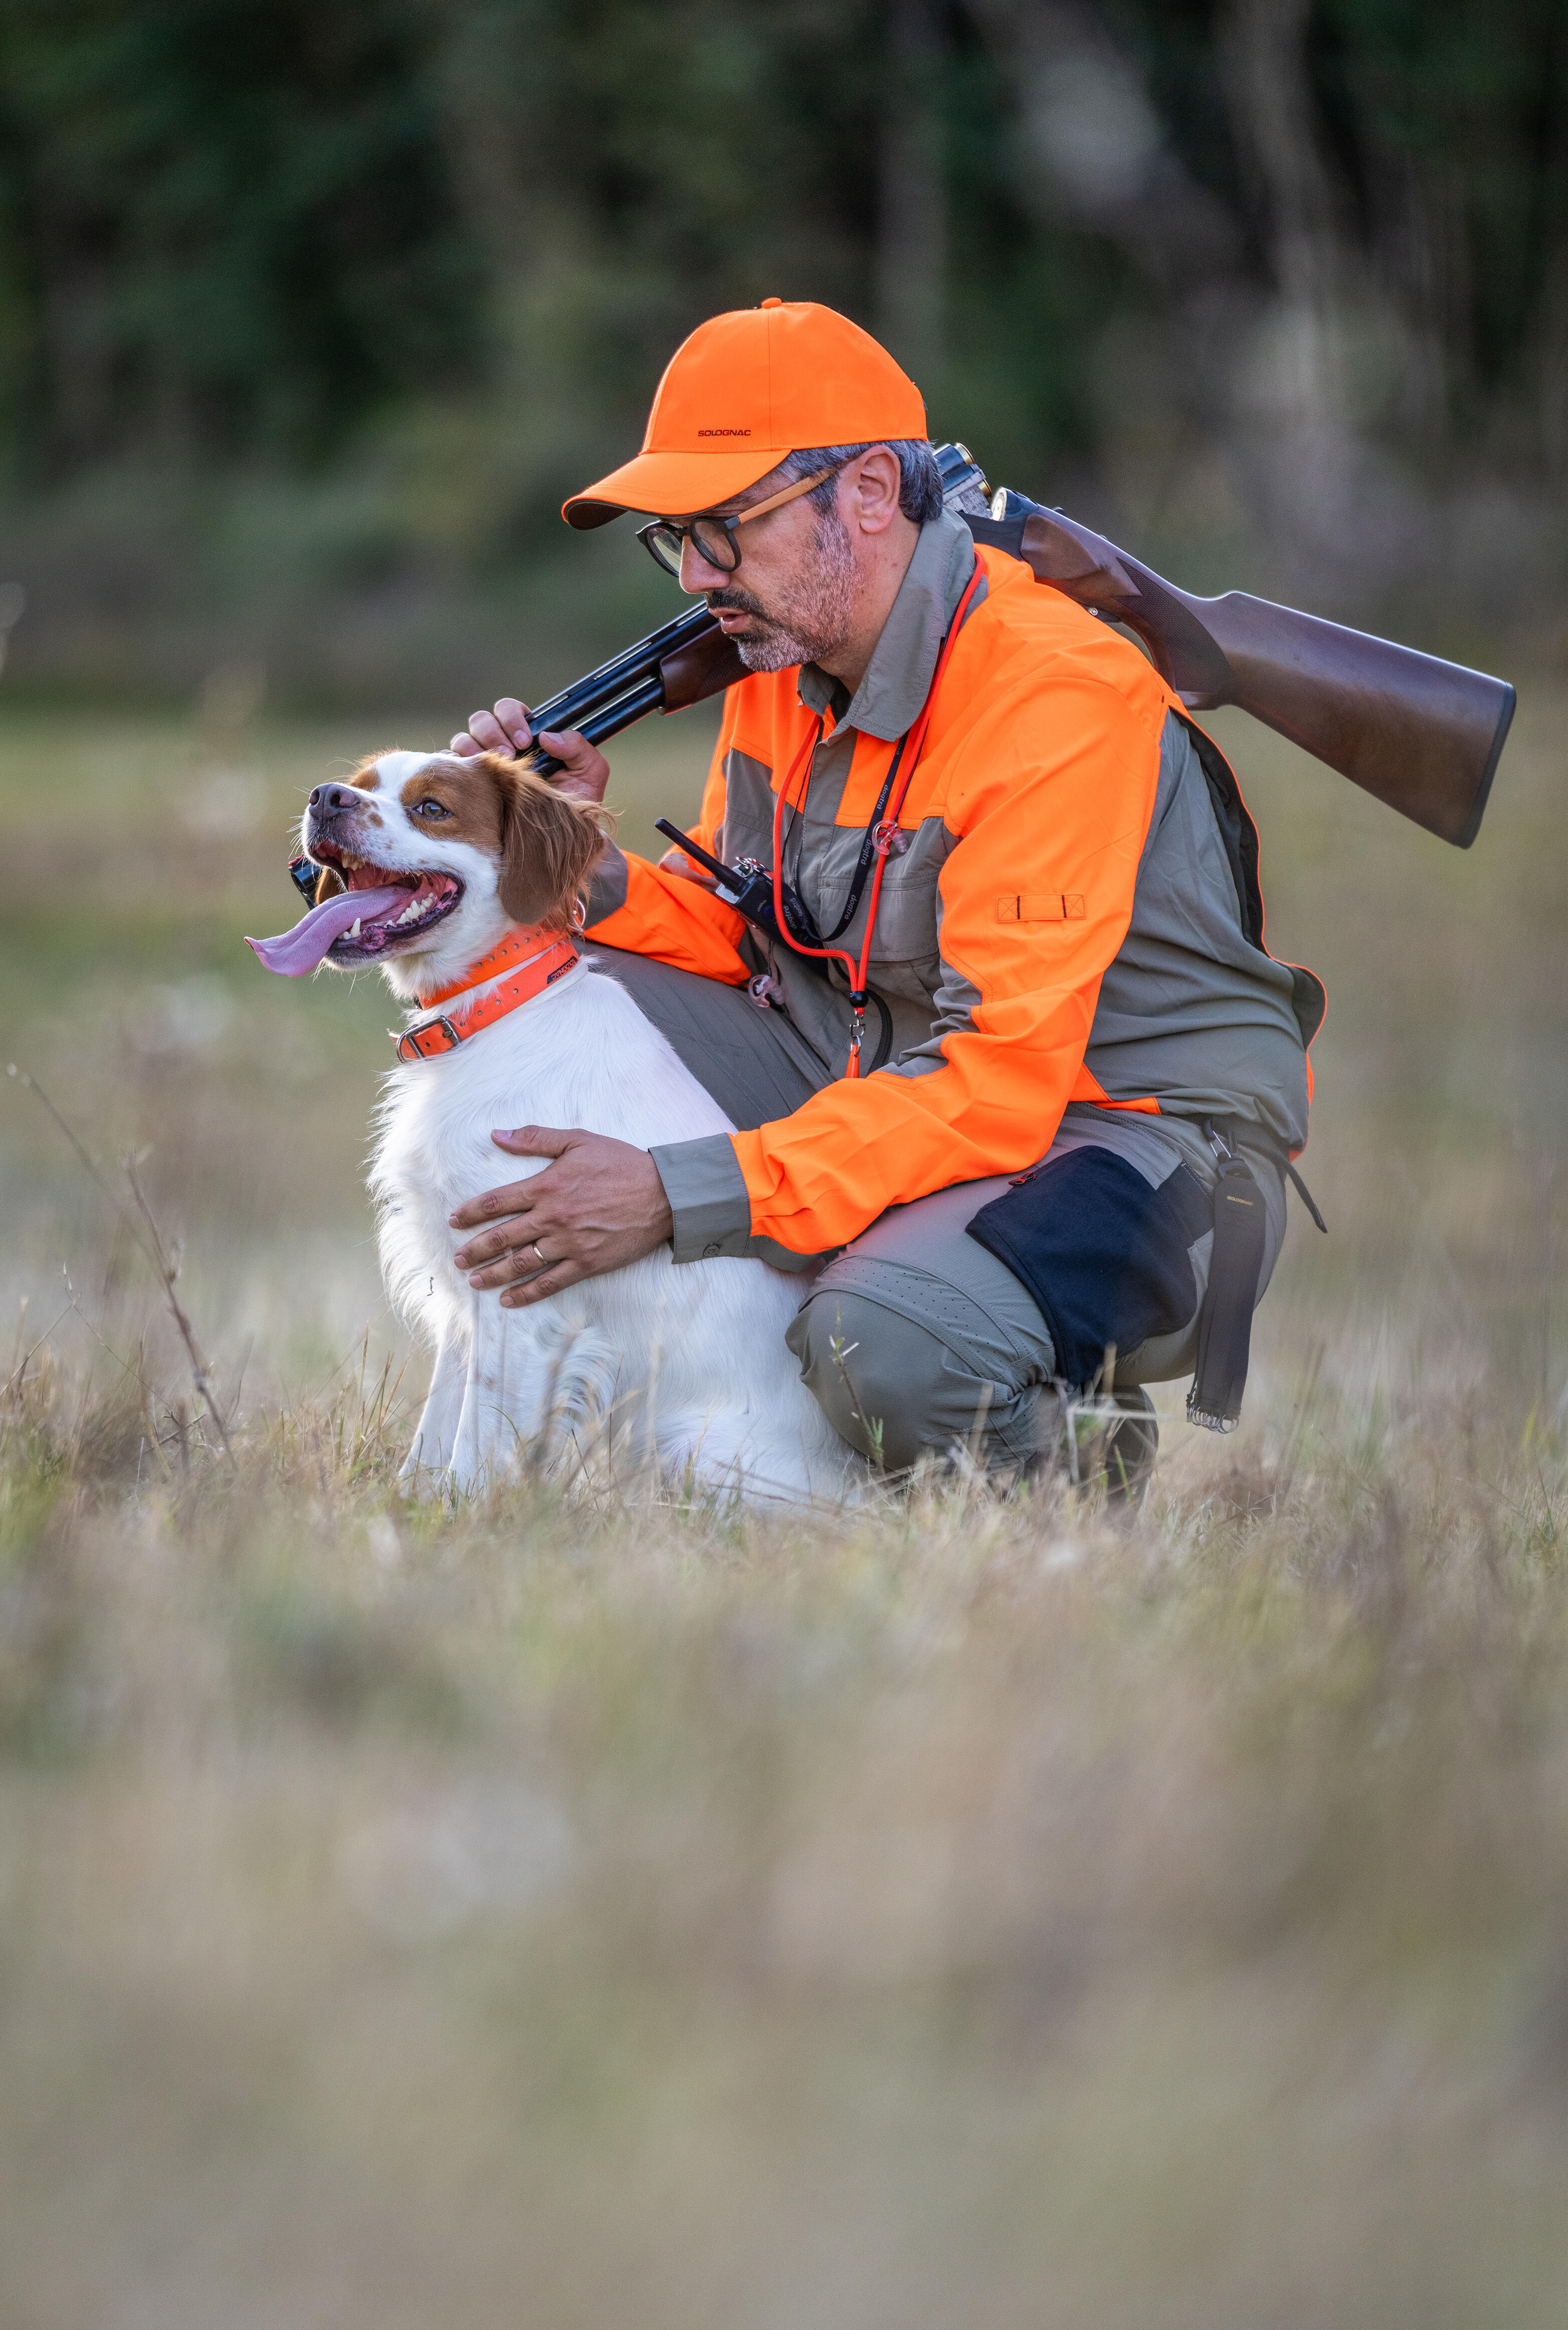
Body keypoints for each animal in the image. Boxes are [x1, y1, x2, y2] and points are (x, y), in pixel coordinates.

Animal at [248, 750, 857, 1510]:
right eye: (361, 785)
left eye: (432, 808)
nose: (325, 798)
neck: (494, 1012)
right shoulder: (467, 1293)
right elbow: (434, 1436)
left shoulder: (520, 1294)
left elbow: (474, 1448)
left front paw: (463, 1518)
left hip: (690, 1447)